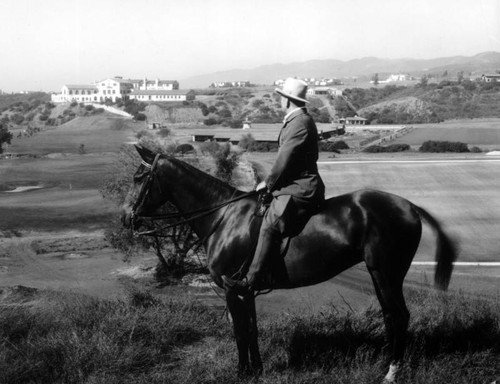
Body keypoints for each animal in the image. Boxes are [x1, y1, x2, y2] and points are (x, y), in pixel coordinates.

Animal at [121, 146, 458, 382]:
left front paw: (242, 372)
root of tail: (408, 205)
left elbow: (240, 331)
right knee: (391, 316)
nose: (126, 217)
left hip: (386, 273)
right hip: (381, 274)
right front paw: (256, 370)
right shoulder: (246, 289)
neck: (223, 217)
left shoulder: (232, 288)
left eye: (139, 177)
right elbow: (252, 329)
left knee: (399, 316)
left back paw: (392, 372)